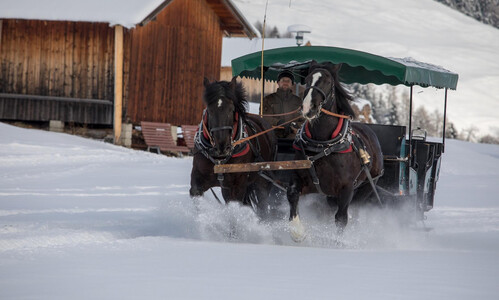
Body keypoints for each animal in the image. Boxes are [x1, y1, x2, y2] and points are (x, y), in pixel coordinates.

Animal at [190, 77, 280, 212]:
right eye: (209, 110)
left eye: (232, 110)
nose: (222, 146)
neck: (220, 158)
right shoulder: (198, 180)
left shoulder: (236, 186)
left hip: (263, 182)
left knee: (262, 204)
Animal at [288, 61, 384, 241]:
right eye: (307, 79)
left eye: (328, 82)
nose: (307, 107)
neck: (323, 145)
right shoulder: (302, 179)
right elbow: (292, 194)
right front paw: (297, 231)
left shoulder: (346, 189)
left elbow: (341, 219)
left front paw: (337, 241)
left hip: (369, 184)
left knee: (354, 209)